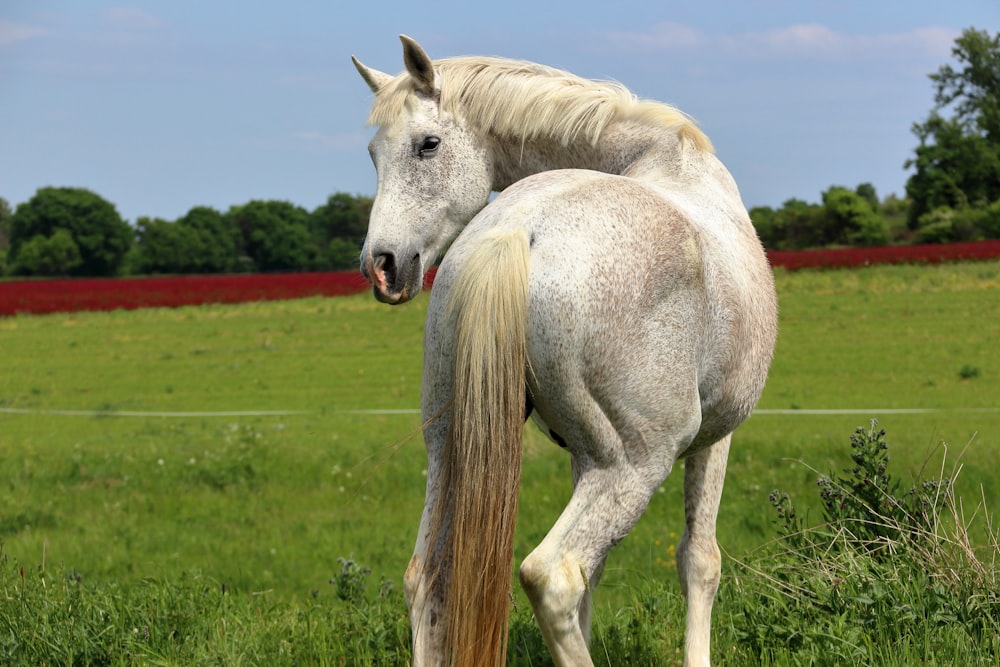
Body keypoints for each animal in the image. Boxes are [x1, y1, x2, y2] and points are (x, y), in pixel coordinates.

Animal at [352, 35, 780, 667]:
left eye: (427, 145)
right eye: (376, 154)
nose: (381, 266)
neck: (661, 155)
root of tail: (517, 229)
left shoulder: (584, 455)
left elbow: (596, 584)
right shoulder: (713, 439)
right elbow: (699, 563)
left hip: (454, 447)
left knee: (425, 578)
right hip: (635, 463)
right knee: (551, 575)